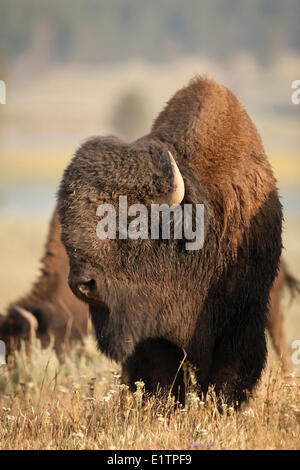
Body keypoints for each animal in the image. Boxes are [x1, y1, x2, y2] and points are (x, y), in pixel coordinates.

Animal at [55, 78, 284, 408]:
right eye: (67, 220)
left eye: (131, 219)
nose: (82, 284)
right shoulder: (153, 334)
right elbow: (162, 379)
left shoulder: (241, 319)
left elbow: (228, 378)